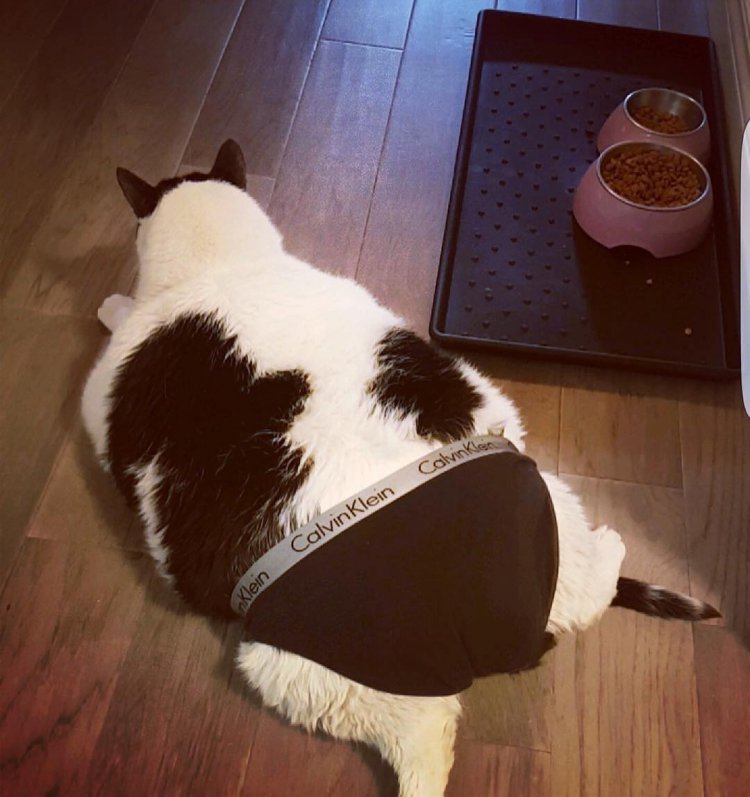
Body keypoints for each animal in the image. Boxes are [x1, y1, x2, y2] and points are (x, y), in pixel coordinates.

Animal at [81, 140, 719, 797]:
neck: (225, 266)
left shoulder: (99, 395)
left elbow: (117, 325)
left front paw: (111, 304)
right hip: (537, 492)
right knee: (581, 600)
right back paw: (610, 551)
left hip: (308, 669)